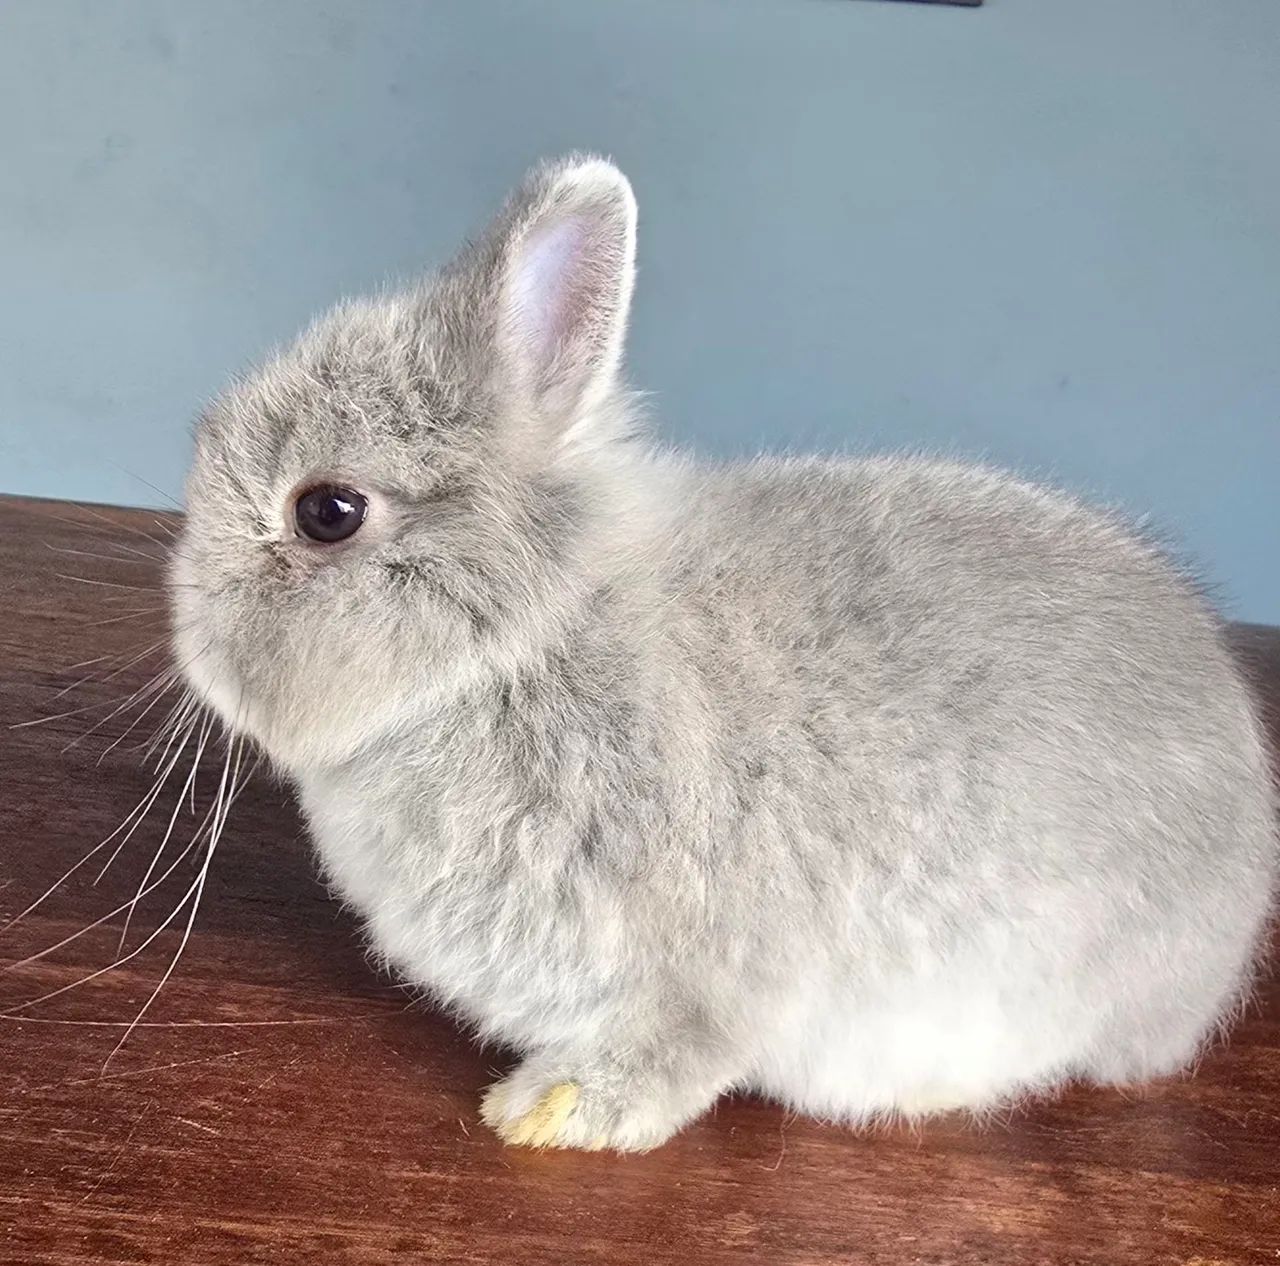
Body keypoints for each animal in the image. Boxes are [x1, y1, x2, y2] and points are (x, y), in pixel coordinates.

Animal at [170, 154, 1277, 1152]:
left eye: (326, 512)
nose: (193, 649)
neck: (518, 647)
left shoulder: (703, 973)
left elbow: (682, 1049)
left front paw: (546, 1114)